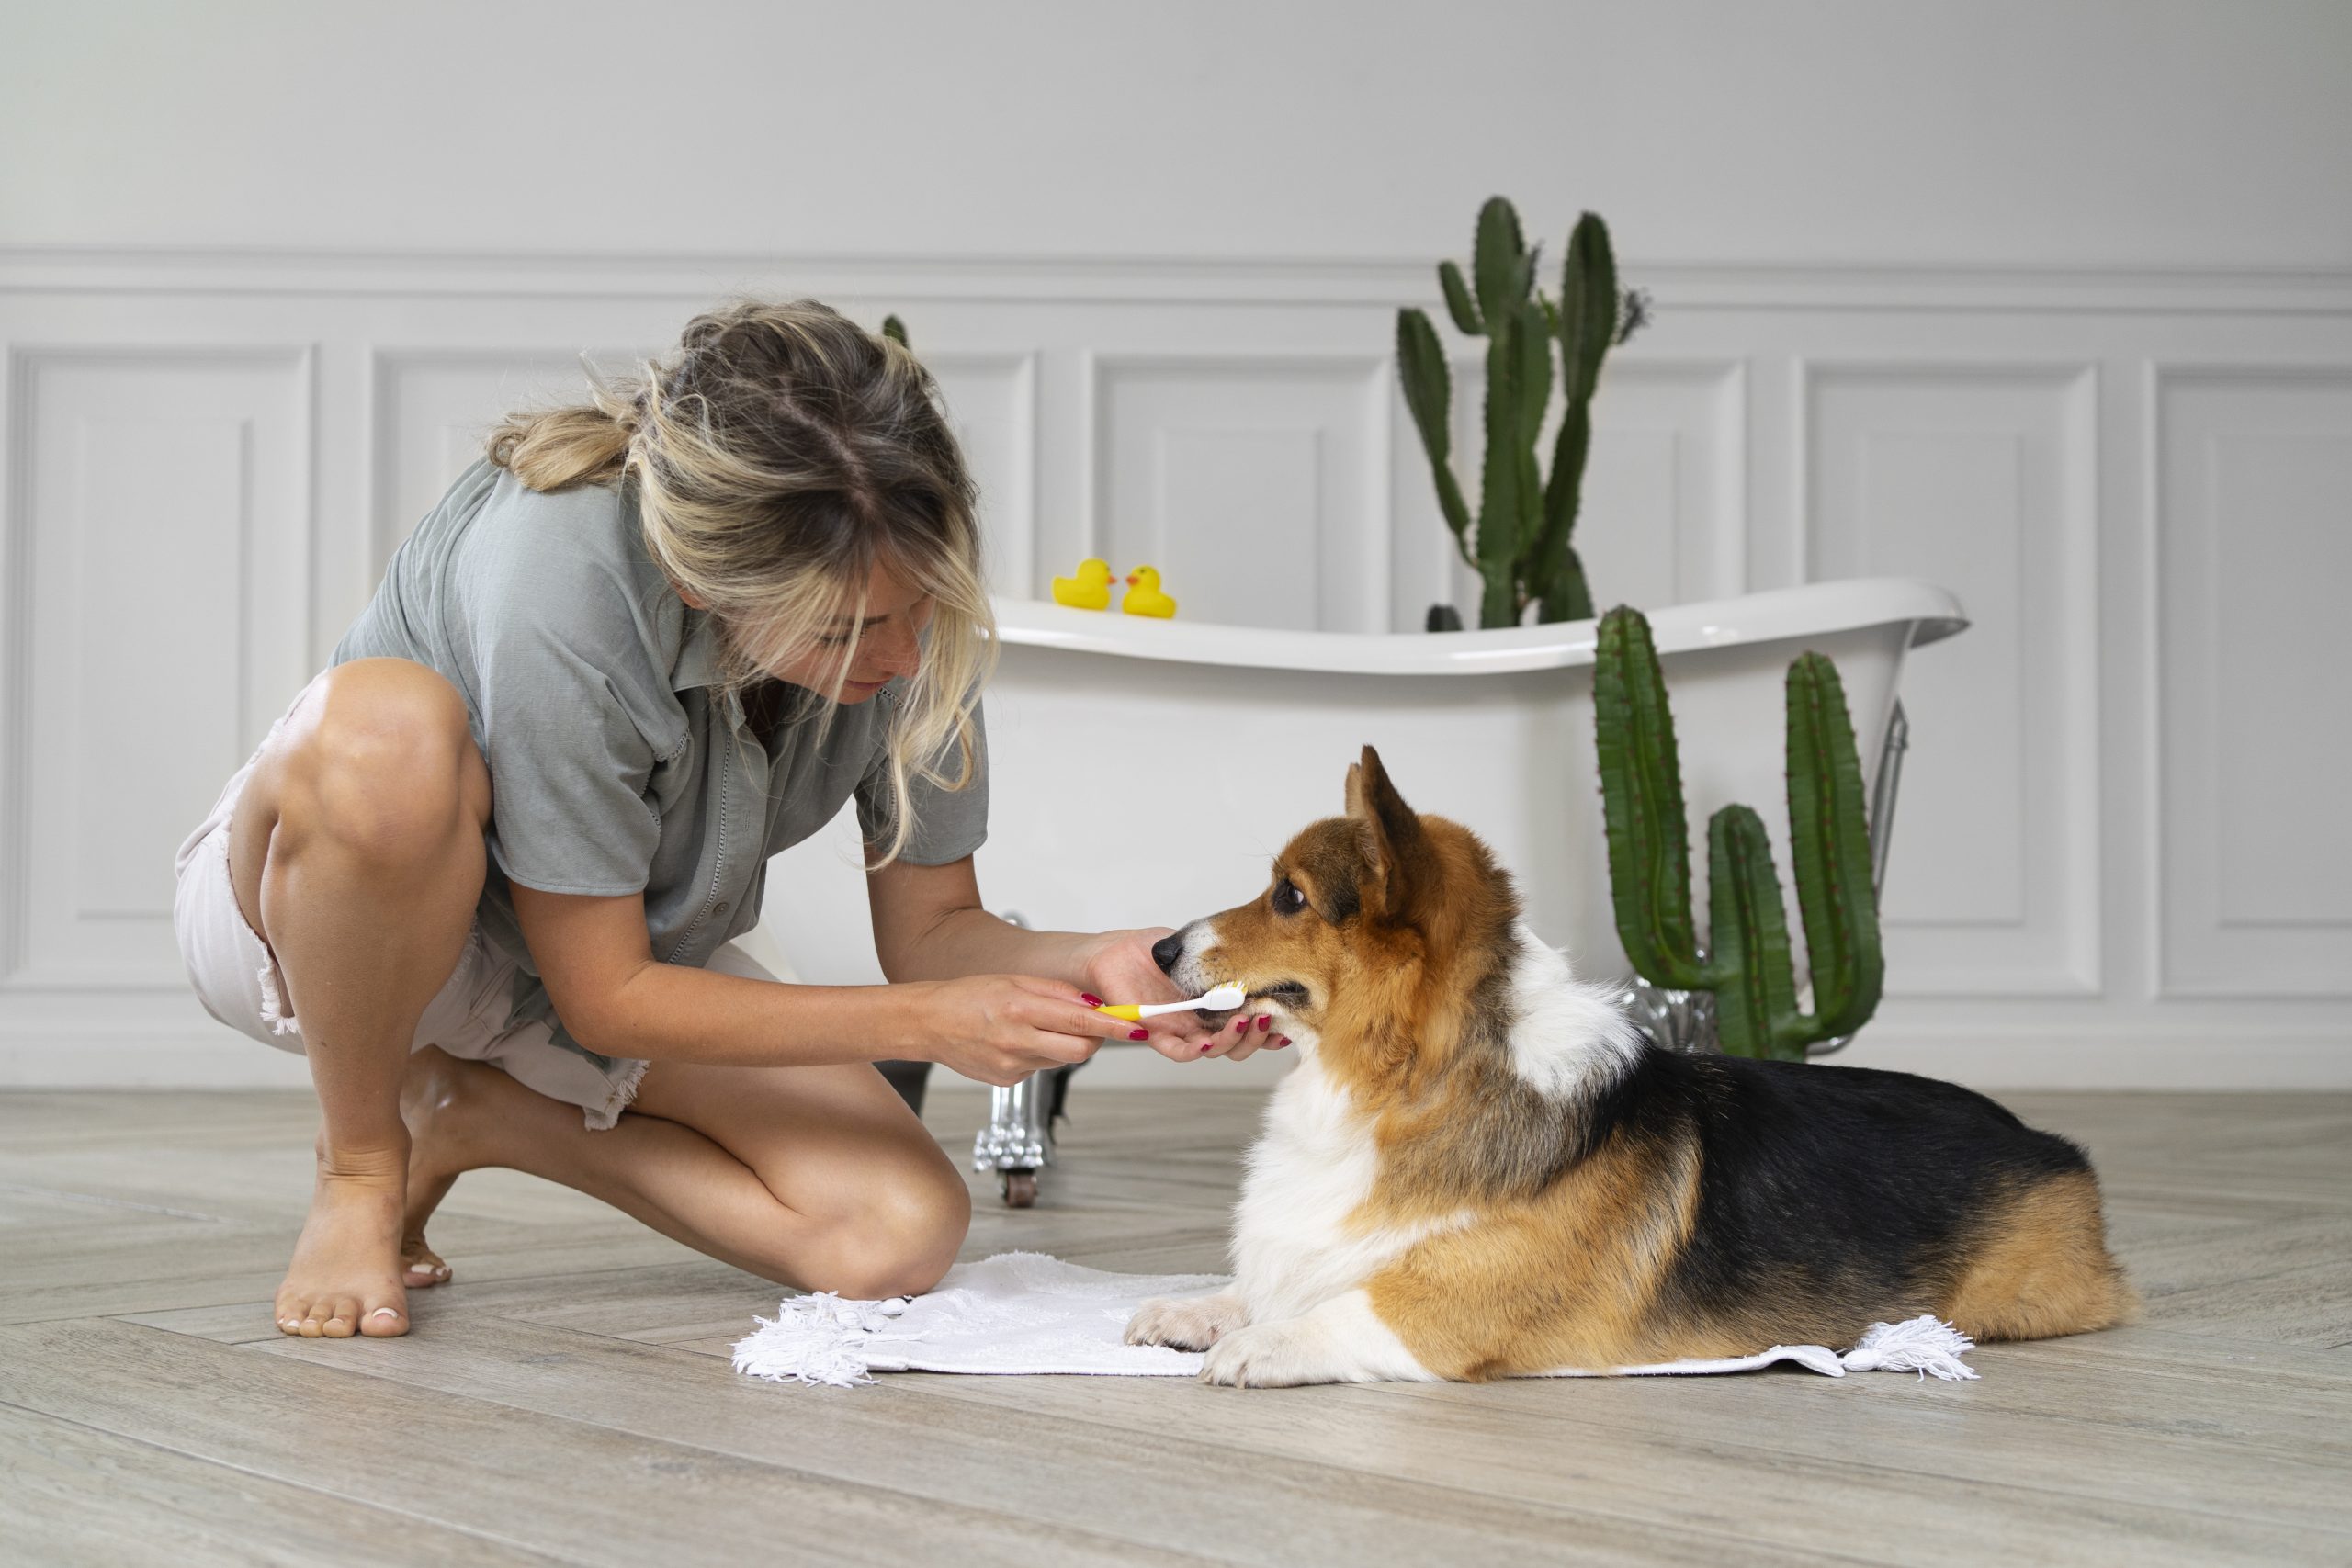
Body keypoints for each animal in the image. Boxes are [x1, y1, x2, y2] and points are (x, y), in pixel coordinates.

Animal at [1128, 747, 2144, 1382]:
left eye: (1288, 896)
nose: (1161, 949)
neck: (1412, 1078)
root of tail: (2047, 1143)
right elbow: (1262, 1285)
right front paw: (1190, 1313)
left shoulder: (1448, 1307)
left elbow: (1346, 1311)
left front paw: (1256, 1347)